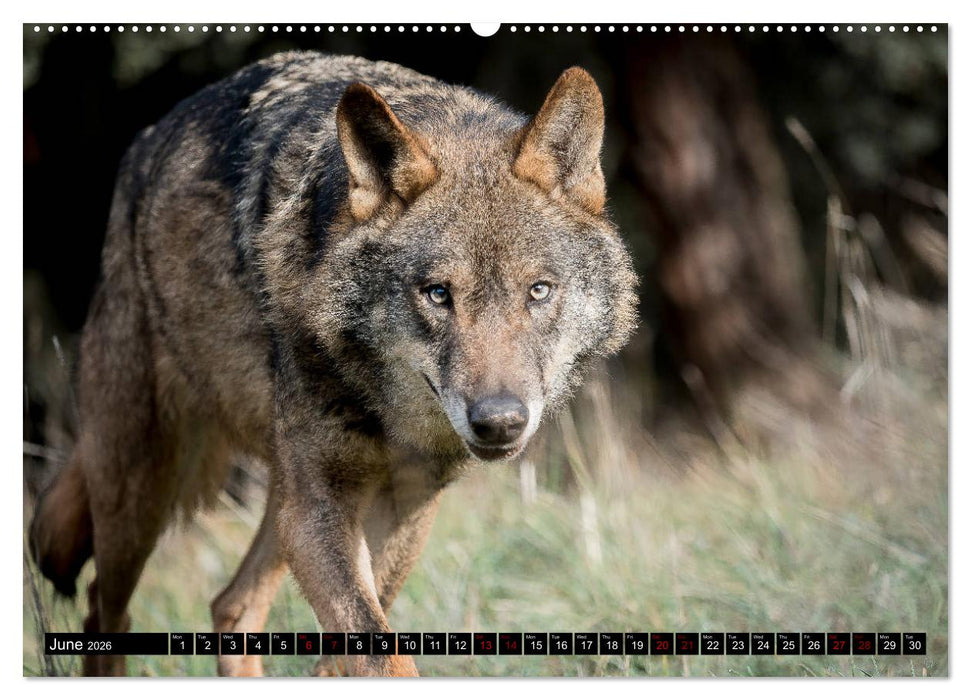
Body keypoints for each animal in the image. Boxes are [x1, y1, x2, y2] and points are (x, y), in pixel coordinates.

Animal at [29, 52, 638, 676]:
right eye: (438, 294)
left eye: (539, 291)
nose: (499, 421)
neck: (384, 412)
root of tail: (148, 137)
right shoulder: (321, 506)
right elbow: (378, 652)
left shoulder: (405, 505)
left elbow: (357, 649)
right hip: (143, 489)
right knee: (105, 610)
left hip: (275, 498)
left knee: (232, 606)